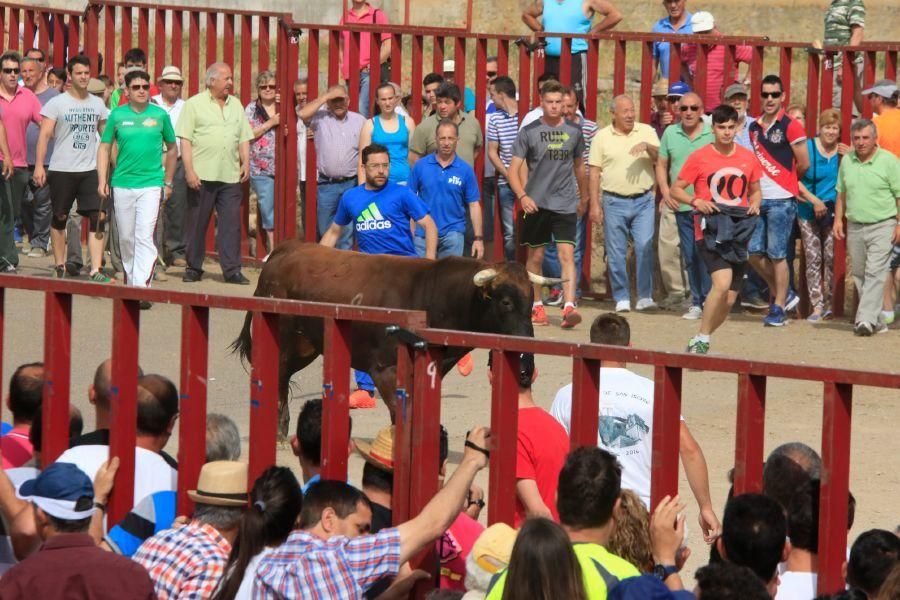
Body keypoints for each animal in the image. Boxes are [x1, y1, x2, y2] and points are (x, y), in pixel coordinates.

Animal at [230, 240, 556, 436]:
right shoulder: (385, 370)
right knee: (278, 376)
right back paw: (279, 430)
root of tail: (284, 250)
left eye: (531, 301)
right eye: (506, 302)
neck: (433, 294)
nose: (526, 366)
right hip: (285, 341)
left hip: (307, 346)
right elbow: (402, 415)